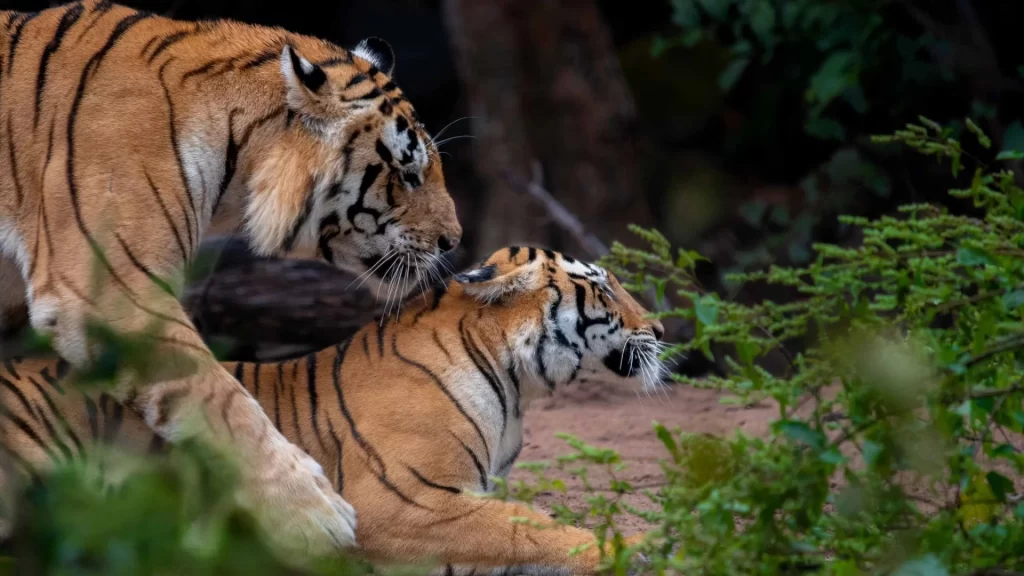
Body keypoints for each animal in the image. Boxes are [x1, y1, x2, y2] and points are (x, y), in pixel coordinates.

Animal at [0, 0, 462, 555]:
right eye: (408, 174)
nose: (454, 240)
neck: (236, 154)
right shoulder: (108, 287)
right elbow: (218, 397)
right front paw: (315, 517)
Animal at [0, 246, 666, 575]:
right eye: (603, 288)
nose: (660, 328)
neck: (516, 384)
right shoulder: (399, 502)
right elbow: (524, 527)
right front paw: (638, 548)